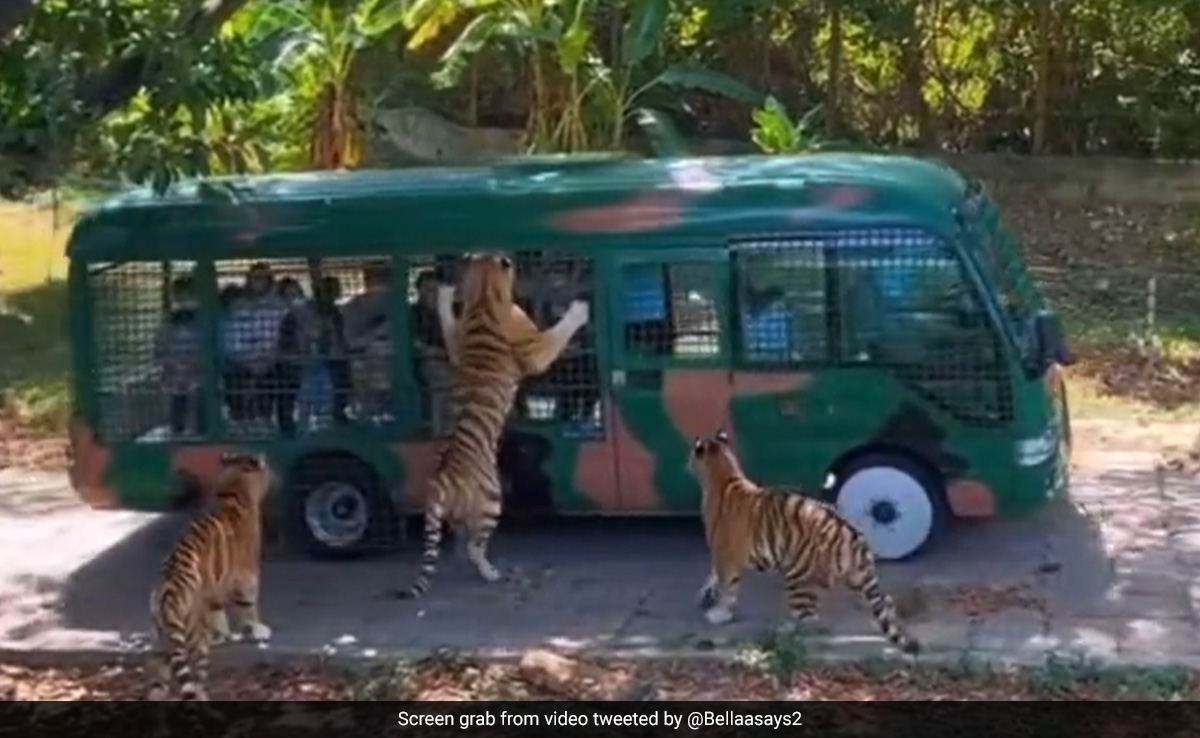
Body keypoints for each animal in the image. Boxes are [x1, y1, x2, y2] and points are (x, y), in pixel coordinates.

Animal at [147, 452, 274, 700]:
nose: (273, 474)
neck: (233, 491)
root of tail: (168, 592)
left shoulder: (214, 587)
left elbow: (218, 611)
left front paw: (224, 635)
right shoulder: (246, 576)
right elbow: (249, 606)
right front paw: (257, 630)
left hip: (163, 638)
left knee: (160, 678)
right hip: (193, 636)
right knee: (195, 678)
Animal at [392, 252, 590, 600]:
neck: (485, 293)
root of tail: (440, 482)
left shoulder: (457, 345)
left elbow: (449, 327)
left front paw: (444, 295)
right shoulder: (534, 350)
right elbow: (555, 335)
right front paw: (579, 311)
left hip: (458, 514)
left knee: (461, 542)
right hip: (492, 501)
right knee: (475, 547)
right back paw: (492, 573)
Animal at [687, 430, 920, 656]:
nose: (687, 463)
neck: (725, 472)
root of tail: (854, 538)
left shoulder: (723, 554)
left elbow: (727, 586)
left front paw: (719, 613)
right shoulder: (723, 554)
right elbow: (713, 577)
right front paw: (705, 596)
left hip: (798, 580)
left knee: (812, 622)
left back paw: (786, 633)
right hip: (857, 579)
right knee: (884, 602)